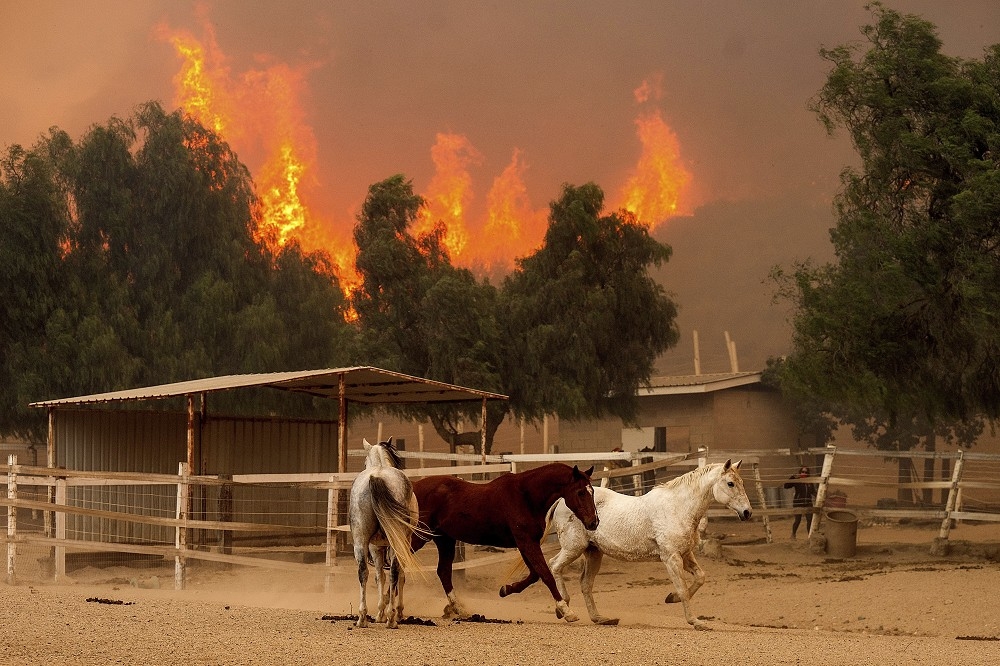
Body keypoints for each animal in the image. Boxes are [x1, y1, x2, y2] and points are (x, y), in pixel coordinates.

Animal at [348, 436, 422, 628]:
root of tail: (377, 477)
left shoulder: (375, 546)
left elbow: (380, 576)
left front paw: (381, 612)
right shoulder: (395, 544)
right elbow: (395, 576)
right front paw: (393, 611)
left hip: (360, 542)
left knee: (363, 572)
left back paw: (362, 618)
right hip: (394, 542)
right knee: (394, 572)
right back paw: (390, 618)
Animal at [410, 460, 596, 620]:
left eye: (592, 491)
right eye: (580, 492)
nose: (594, 522)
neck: (525, 496)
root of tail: (413, 487)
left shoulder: (526, 543)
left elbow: (534, 574)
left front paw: (506, 589)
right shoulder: (526, 542)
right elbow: (545, 574)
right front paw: (566, 610)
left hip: (444, 540)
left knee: (443, 572)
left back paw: (458, 609)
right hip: (419, 536)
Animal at [548, 456, 752, 628]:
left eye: (741, 483)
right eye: (730, 483)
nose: (747, 512)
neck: (678, 508)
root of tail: (562, 500)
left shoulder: (685, 554)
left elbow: (700, 577)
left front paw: (671, 598)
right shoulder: (671, 558)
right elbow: (683, 589)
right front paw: (695, 622)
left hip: (593, 552)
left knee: (585, 583)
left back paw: (600, 618)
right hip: (573, 547)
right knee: (554, 566)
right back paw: (565, 611)